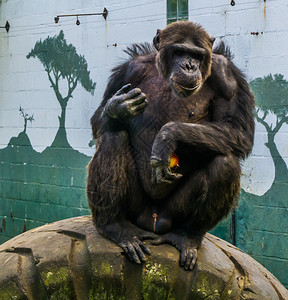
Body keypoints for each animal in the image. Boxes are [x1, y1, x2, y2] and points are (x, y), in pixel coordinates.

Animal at [86, 21, 254, 270]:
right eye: (179, 52)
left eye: (197, 55)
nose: (189, 65)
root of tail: (153, 222)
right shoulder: (128, 70)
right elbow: (99, 119)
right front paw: (118, 107)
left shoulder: (228, 75)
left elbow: (237, 129)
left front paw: (168, 135)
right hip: (136, 210)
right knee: (113, 137)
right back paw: (115, 227)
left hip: (172, 214)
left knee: (226, 163)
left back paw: (186, 237)